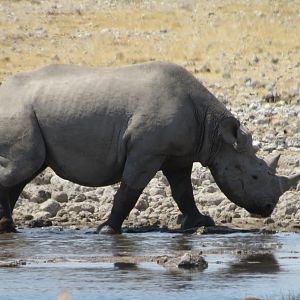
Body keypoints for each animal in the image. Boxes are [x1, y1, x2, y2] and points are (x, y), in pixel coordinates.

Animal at [0, 62, 298, 233]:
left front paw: (201, 223)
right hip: (18, 111)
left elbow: (183, 191)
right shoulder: (146, 151)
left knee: (24, 172)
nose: (269, 208)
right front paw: (107, 230)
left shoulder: (179, 155)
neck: (215, 131)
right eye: (255, 176)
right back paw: (7, 228)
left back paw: (8, 228)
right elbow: (130, 191)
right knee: (23, 167)